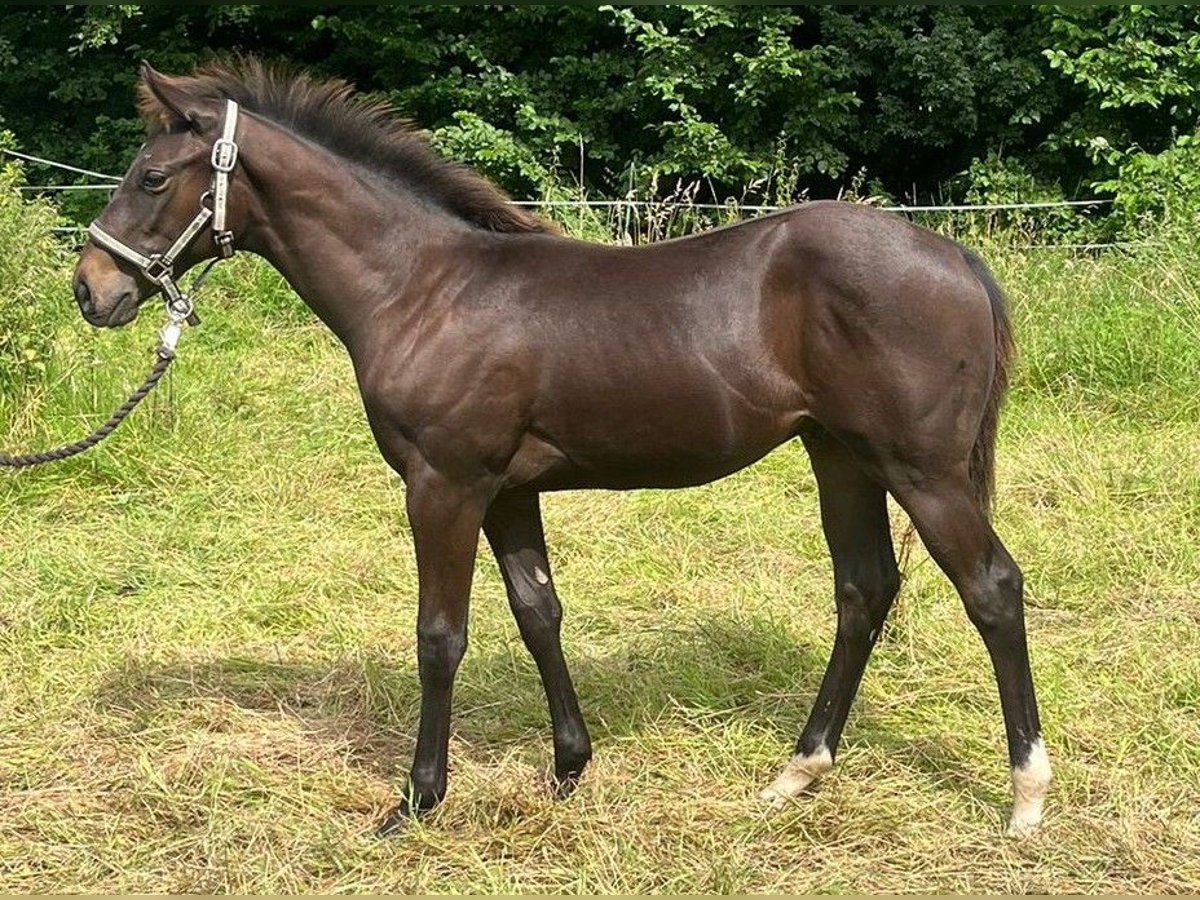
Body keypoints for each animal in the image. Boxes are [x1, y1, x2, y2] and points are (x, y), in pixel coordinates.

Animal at [72, 61, 1051, 840]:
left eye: (152, 176)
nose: (91, 289)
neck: (421, 289)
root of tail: (957, 257)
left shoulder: (443, 485)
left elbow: (441, 635)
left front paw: (415, 801)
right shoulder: (508, 491)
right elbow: (538, 611)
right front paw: (569, 768)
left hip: (921, 470)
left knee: (992, 588)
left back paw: (1026, 796)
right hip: (840, 455)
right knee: (864, 589)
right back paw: (796, 773)